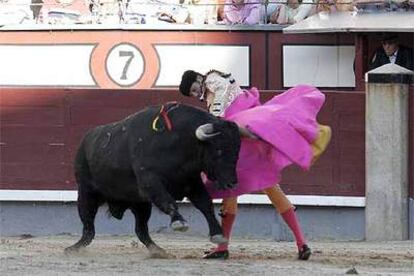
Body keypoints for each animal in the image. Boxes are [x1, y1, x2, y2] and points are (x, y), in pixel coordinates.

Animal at [63, 103, 241, 256]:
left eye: (237, 150)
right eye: (218, 150)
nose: (232, 182)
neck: (179, 142)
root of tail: (85, 140)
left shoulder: (192, 183)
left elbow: (205, 204)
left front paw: (218, 234)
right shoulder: (150, 181)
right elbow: (168, 201)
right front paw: (179, 222)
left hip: (141, 205)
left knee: (141, 230)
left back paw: (158, 251)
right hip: (86, 194)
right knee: (88, 229)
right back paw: (73, 248)